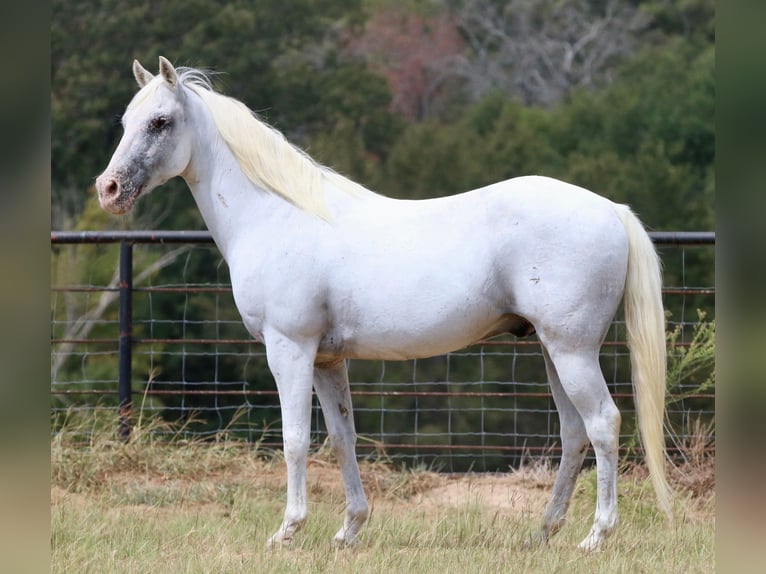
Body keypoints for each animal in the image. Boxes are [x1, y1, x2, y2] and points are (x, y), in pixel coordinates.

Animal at [94, 58, 672, 552]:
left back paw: (596, 536)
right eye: (126, 120)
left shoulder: (290, 349)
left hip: (572, 351)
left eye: (161, 121)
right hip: (553, 351)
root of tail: (612, 210)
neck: (276, 215)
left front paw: (287, 530)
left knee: (603, 424)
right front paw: (349, 530)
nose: (109, 188)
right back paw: (543, 532)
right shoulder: (328, 360)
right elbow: (342, 438)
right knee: (574, 433)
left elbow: (296, 439)